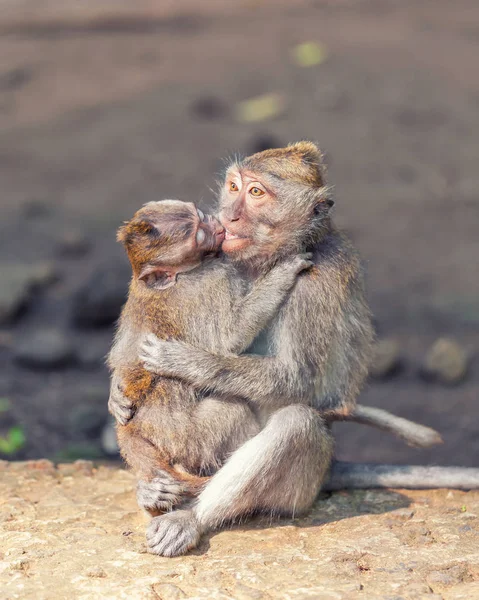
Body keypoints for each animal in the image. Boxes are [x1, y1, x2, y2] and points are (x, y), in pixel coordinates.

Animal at [142, 142, 479, 556]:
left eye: (257, 193)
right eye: (234, 187)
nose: (227, 215)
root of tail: (330, 468)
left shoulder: (311, 285)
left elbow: (296, 380)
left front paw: (183, 359)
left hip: (303, 485)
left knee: (296, 424)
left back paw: (193, 514)